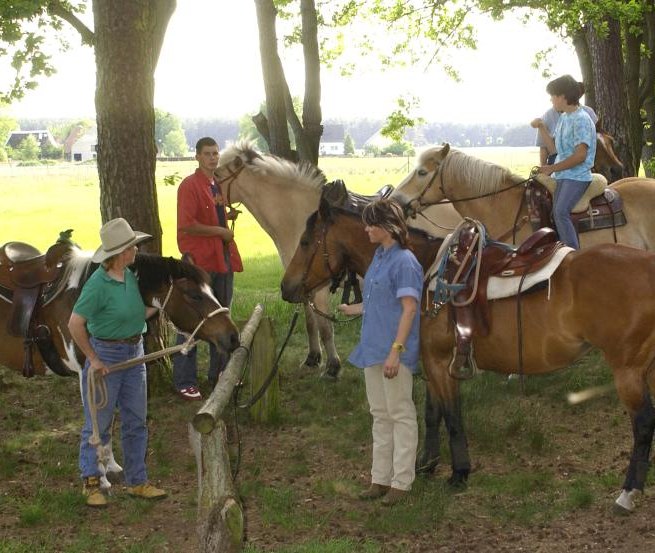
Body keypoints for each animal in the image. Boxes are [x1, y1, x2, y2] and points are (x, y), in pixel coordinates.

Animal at [0, 237, 241, 484]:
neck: (78, 296)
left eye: (212, 290)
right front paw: (101, 476)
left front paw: (111, 466)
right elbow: (99, 420)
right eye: (194, 295)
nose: (233, 336)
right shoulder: (88, 374)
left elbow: (110, 420)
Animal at [284, 198, 655, 512]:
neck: (424, 271)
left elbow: (451, 417)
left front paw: (459, 473)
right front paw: (426, 464)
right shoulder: (431, 363)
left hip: (628, 370)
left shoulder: (440, 364)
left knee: (643, 424)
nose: (286, 288)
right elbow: (432, 414)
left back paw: (627, 493)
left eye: (305, 242)